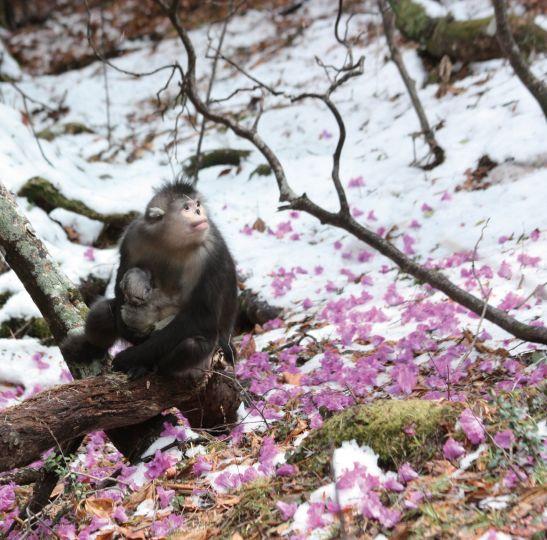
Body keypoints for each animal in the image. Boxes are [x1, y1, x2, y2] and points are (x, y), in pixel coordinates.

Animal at [62, 179, 238, 378]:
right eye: (187, 207)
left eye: (198, 205)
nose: (199, 212)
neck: (173, 242)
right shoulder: (134, 235)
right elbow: (122, 276)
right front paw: (126, 329)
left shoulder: (211, 254)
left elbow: (201, 316)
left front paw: (129, 358)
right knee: (102, 311)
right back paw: (91, 349)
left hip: (205, 361)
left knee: (191, 346)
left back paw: (154, 368)